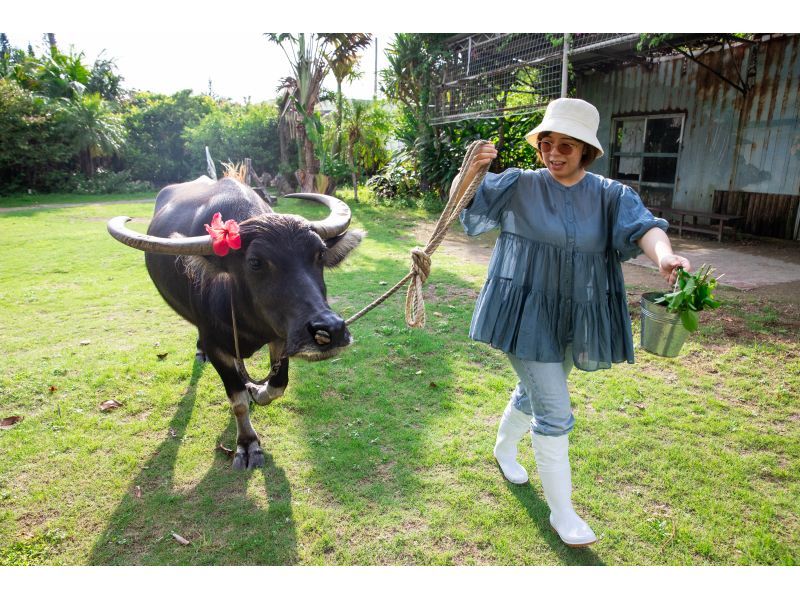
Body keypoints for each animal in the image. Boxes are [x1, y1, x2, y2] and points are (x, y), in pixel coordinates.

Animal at [108, 176, 364, 472]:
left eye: (320, 254)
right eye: (255, 262)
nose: (330, 330)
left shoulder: (280, 337)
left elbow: (277, 386)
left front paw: (256, 391)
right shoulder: (218, 347)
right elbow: (238, 401)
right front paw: (248, 444)